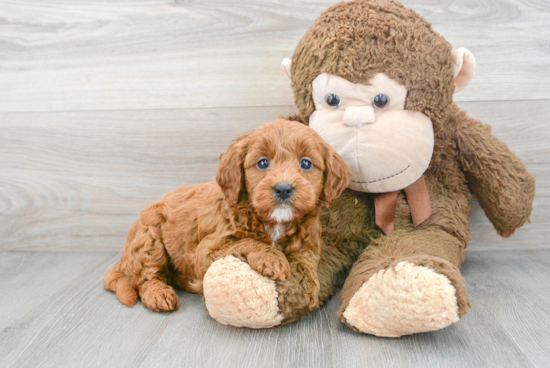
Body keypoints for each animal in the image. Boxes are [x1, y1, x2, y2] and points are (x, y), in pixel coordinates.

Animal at [105, 119, 352, 312]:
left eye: (306, 163)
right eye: (263, 162)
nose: (283, 189)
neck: (273, 222)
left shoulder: (307, 242)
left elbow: (305, 261)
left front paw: (308, 286)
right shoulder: (207, 249)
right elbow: (246, 241)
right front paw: (271, 257)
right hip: (148, 239)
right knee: (147, 276)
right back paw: (158, 295)